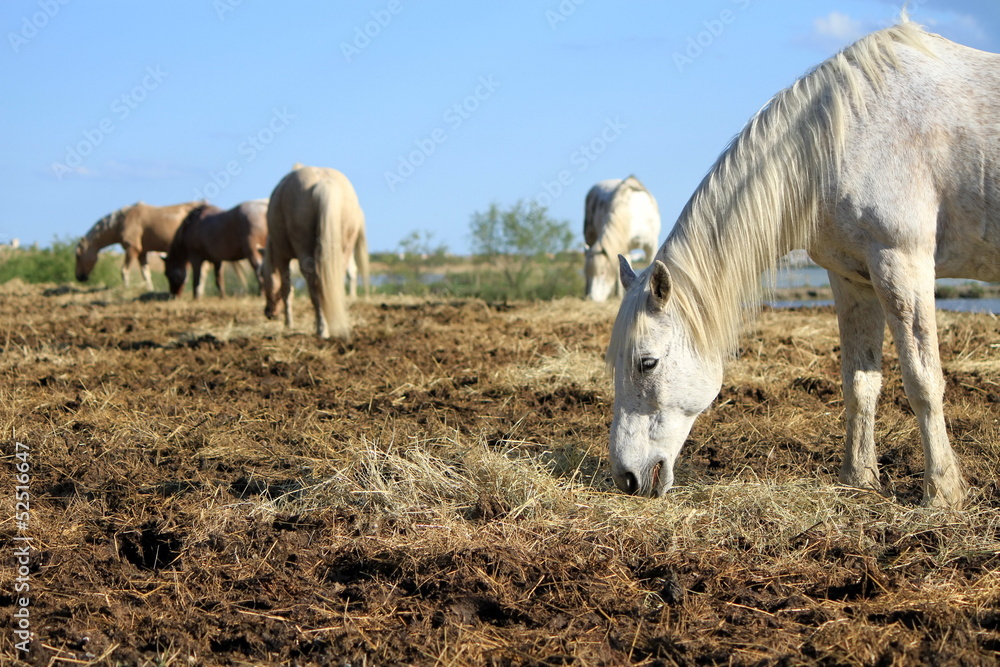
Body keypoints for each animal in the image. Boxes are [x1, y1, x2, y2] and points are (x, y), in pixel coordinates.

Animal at [261, 165, 370, 340]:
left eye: (263, 282)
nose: (268, 312)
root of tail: (323, 184)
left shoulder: (281, 256)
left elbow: (287, 290)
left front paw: (288, 323)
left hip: (304, 249)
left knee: (315, 284)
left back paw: (322, 328)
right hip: (344, 249)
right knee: (334, 281)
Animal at [605, 21, 999, 509]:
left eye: (648, 363)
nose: (625, 478)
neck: (846, 135)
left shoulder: (902, 264)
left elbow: (923, 381)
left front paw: (942, 492)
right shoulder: (854, 279)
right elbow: (859, 382)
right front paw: (858, 478)